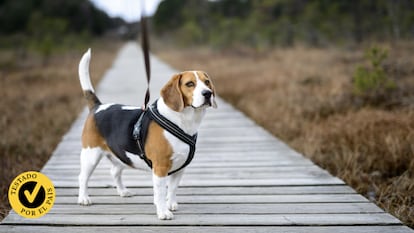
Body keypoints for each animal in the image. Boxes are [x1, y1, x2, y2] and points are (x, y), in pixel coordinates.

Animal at [77, 49, 217, 220]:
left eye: (207, 82)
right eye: (190, 84)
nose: (208, 94)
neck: (183, 120)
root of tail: (98, 106)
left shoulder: (180, 168)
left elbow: (172, 189)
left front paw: (170, 203)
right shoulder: (160, 167)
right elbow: (161, 191)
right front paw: (163, 212)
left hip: (120, 155)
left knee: (114, 172)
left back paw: (123, 191)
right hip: (91, 155)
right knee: (83, 177)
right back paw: (83, 198)